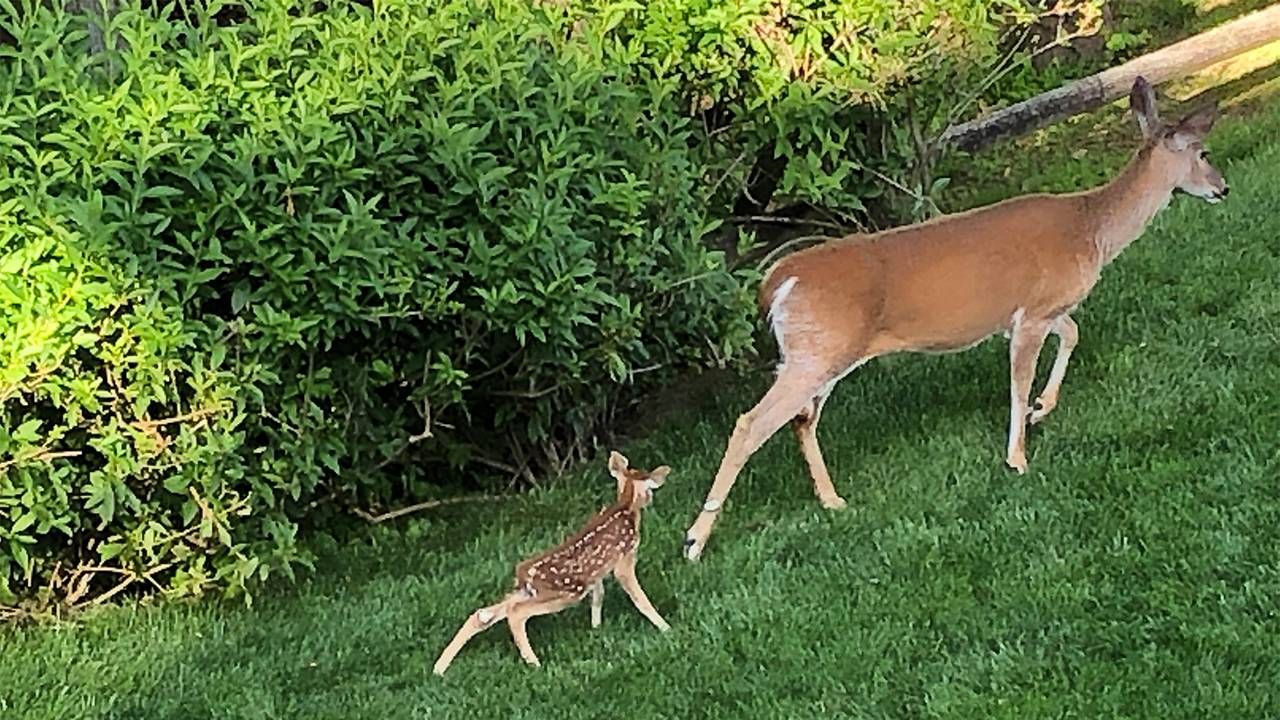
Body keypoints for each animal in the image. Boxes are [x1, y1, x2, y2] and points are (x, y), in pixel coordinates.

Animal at [686, 78, 1223, 561]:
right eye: (1202, 152)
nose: (1223, 187)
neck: (1090, 229)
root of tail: (776, 281)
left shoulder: (1038, 309)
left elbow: (1072, 333)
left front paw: (1042, 409)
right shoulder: (1032, 312)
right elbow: (1019, 381)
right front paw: (1017, 457)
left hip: (820, 353)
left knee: (801, 419)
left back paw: (832, 500)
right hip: (817, 352)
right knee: (751, 423)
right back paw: (695, 540)